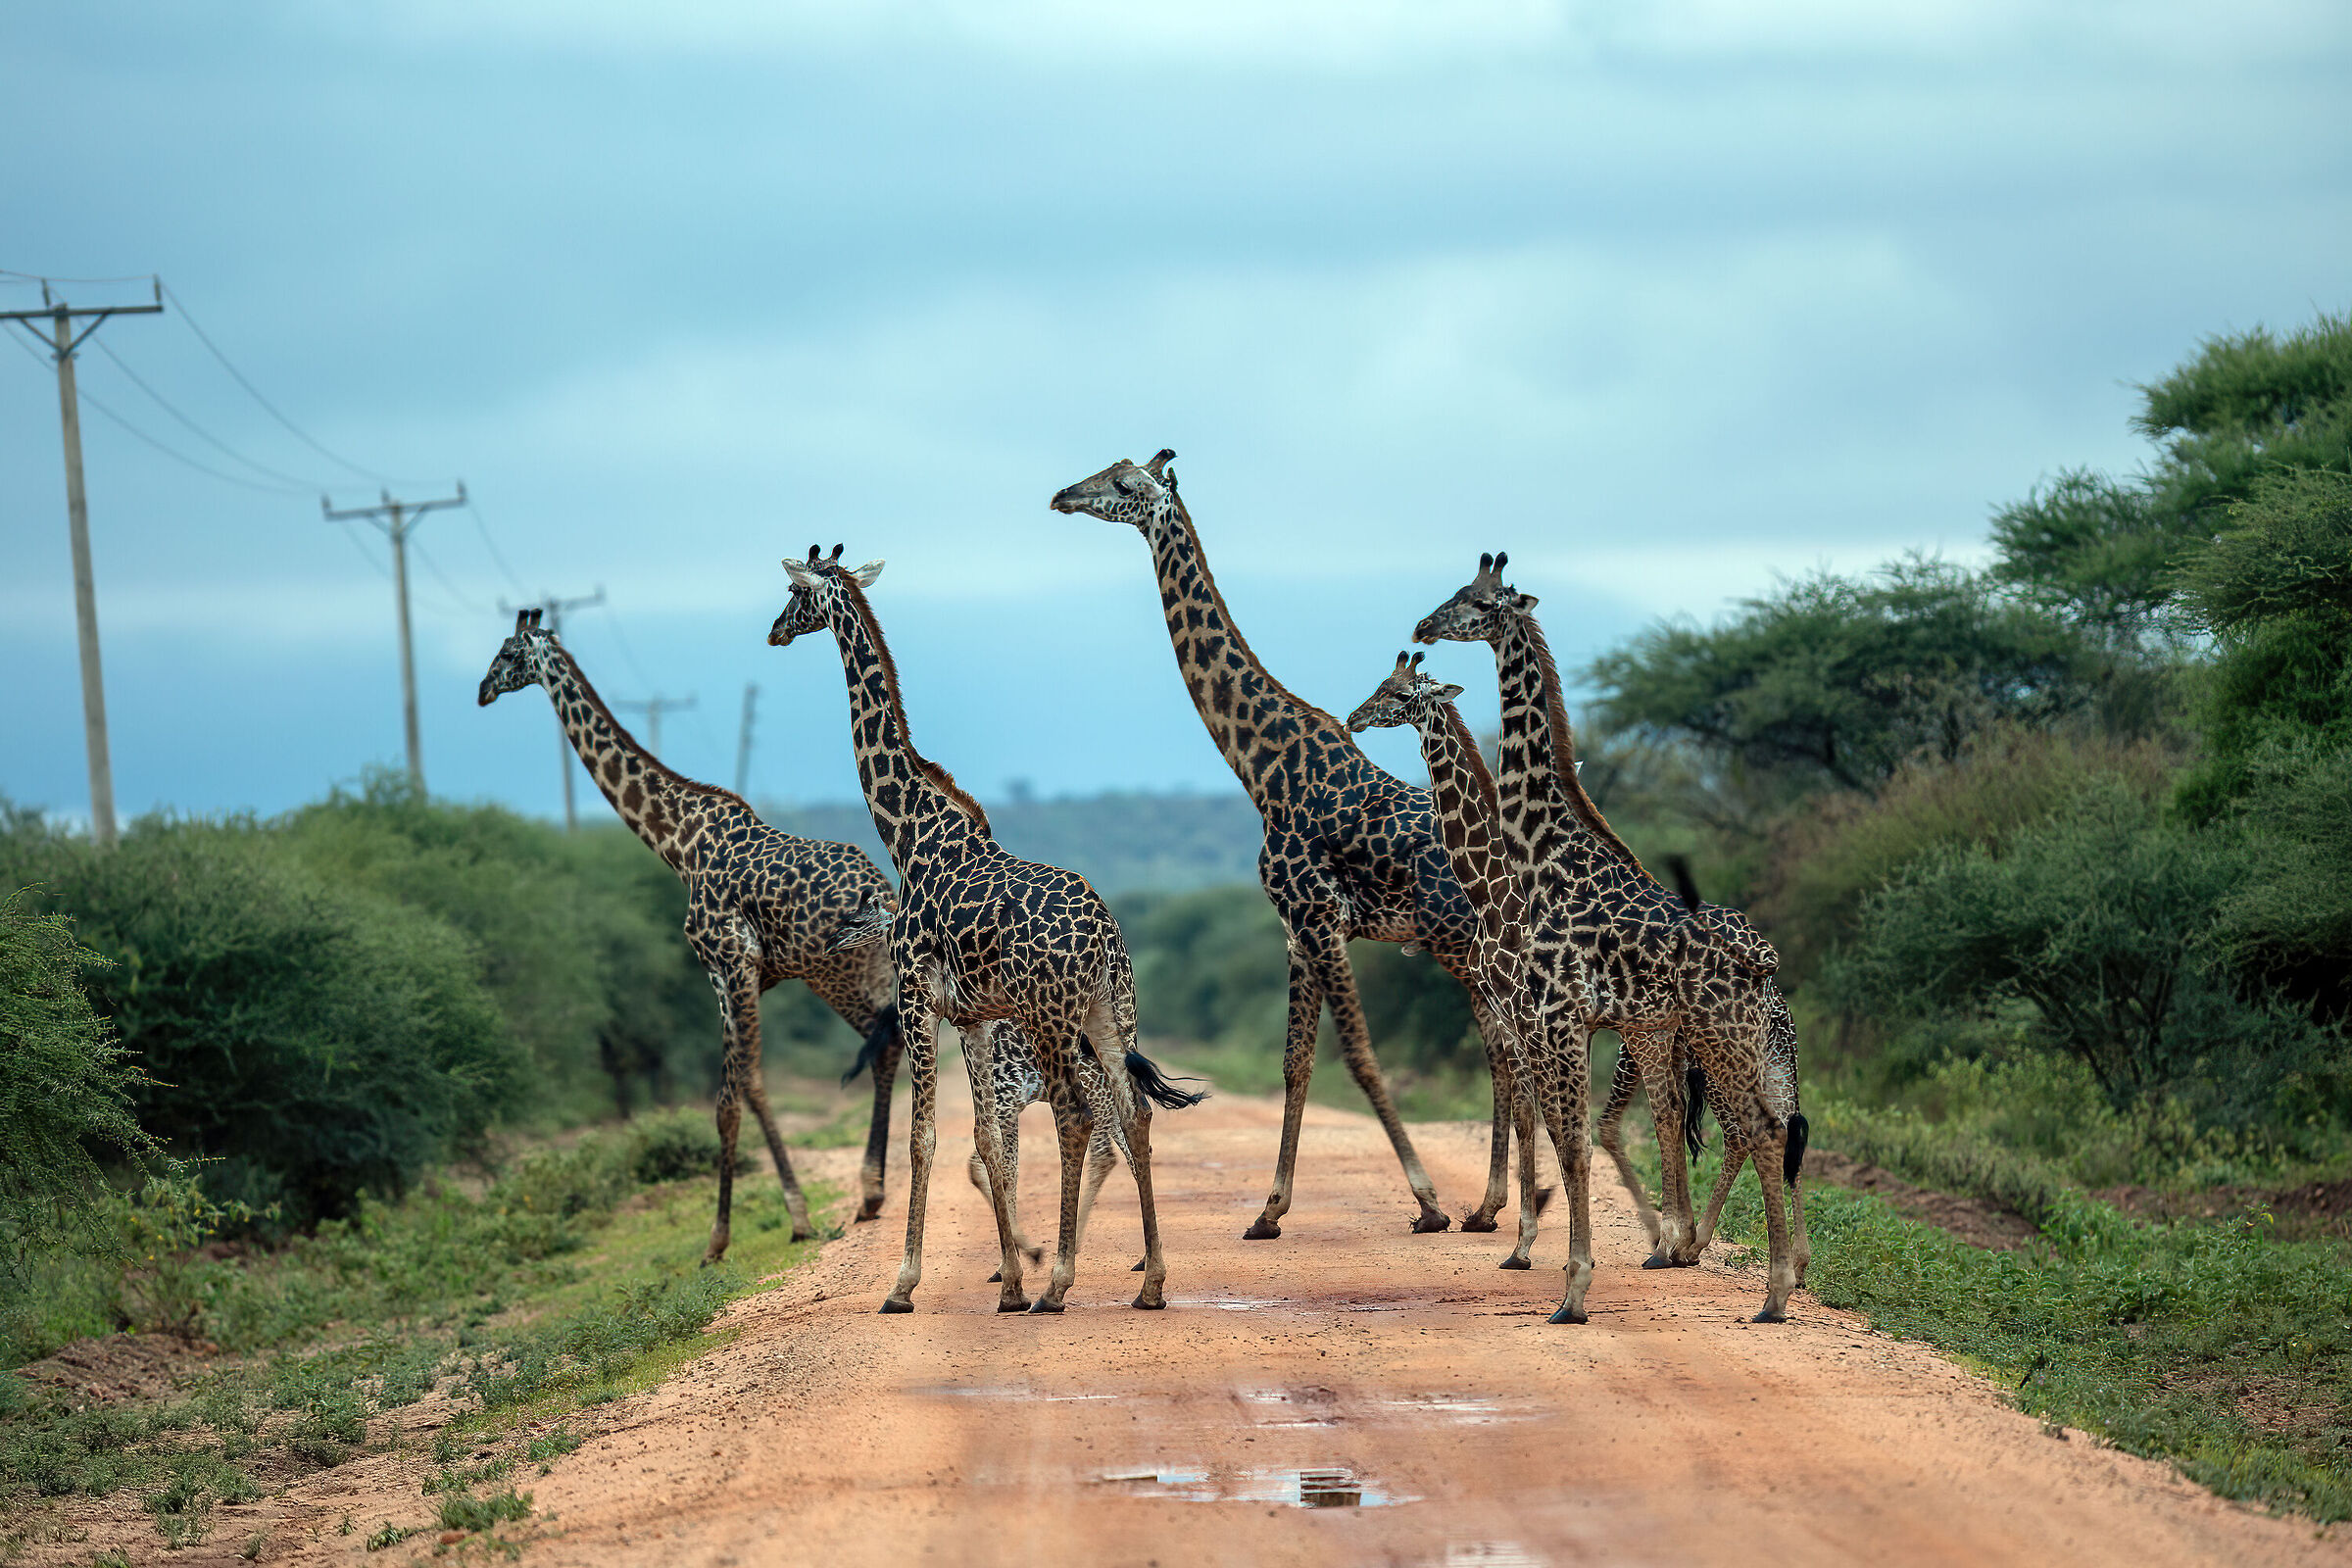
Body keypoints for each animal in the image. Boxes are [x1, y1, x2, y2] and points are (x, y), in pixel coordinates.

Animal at [478, 608, 908, 1261]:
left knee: (887, 1042)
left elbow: (738, 1092)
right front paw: (775, 1219)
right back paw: (871, 1194)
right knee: (888, 1043)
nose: (481, 690)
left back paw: (871, 1191)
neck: (675, 841)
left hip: (837, 970)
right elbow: (744, 1089)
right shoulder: (749, 974)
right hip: (847, 972)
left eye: (507, 653)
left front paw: (732, 1235)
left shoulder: (729, 965)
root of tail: (882, 893)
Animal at [768, 547, 1193, 1313]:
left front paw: (905, 1284)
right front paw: (1010, 1283)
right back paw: (1149, 1282)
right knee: (1134, 1117)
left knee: (1079, 1118)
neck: (907, 836)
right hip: (1109, 1013)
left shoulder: (915, 998)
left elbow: (925, 1139)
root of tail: (1105, 935)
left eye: (795, 593)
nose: (774, 632)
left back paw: (1062, 1282)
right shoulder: (972, 1016)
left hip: (1054, 1017)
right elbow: (989, 1142)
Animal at [1051, 451, 1524, 1239]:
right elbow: (1295, 1062)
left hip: (1465, 945)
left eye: (1121, 484)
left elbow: (1359, 1055)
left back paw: (1504, 1206)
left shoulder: (1320, 918)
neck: (1262, 768)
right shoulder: (1296, 930)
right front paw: (1269, 1210)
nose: (1062, 495)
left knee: (1513, 1040)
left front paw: (1427, 1202)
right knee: (1510, 1041)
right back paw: (1499, 1205)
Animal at [1414, 554, 1810, 1320]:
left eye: (1479, 602)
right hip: (1732, 1040)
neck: (1542, 858)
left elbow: (1574, 1144)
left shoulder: (1558, 1019)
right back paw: (1770, 1280)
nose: (1421, 625)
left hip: (1719, 1036)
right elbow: (1577, 1137)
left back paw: (1773, 1291)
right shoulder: (1568, 1023)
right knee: (1768, 1129)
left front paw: (1573, 1290)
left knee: (1759, 1129)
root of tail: (1763, 960)